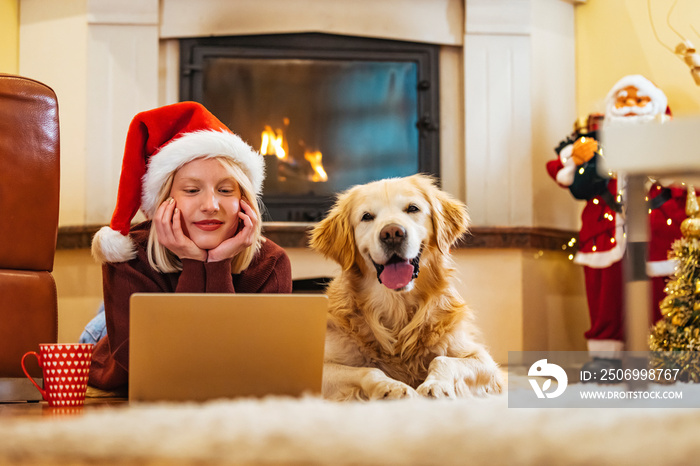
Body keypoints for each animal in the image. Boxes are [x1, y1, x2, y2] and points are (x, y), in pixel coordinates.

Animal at [310, 175, 504, 400]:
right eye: (366, 216)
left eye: (412, 208)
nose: (392, 233)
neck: (397, 305)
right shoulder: (324, 364)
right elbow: (369, 370)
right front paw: (392, 387)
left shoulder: (484, 361)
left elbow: (443, 360)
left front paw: (436, 385)